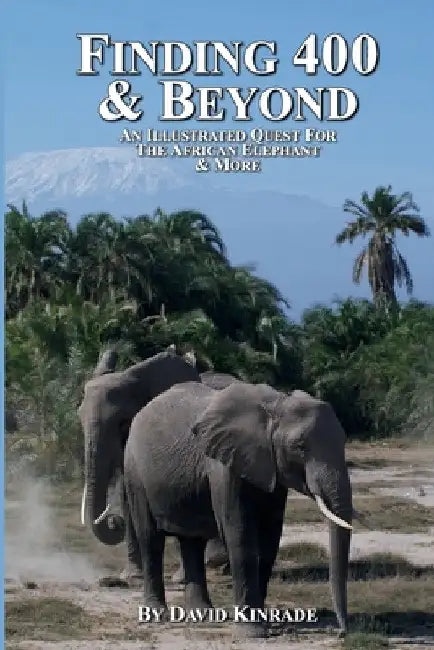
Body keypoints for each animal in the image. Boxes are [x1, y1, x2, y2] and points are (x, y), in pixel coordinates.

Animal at [123, 380, 353, 636]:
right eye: (300, 447)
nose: (342, 632)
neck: (275, 405)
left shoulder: (269, 468)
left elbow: (270, 538)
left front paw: (264, 620)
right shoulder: (223, 465)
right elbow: (240, 534)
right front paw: (252, 632)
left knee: (192, 542)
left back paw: (203, 616)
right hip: (134, 472)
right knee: (150, 538)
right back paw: (157, 616)